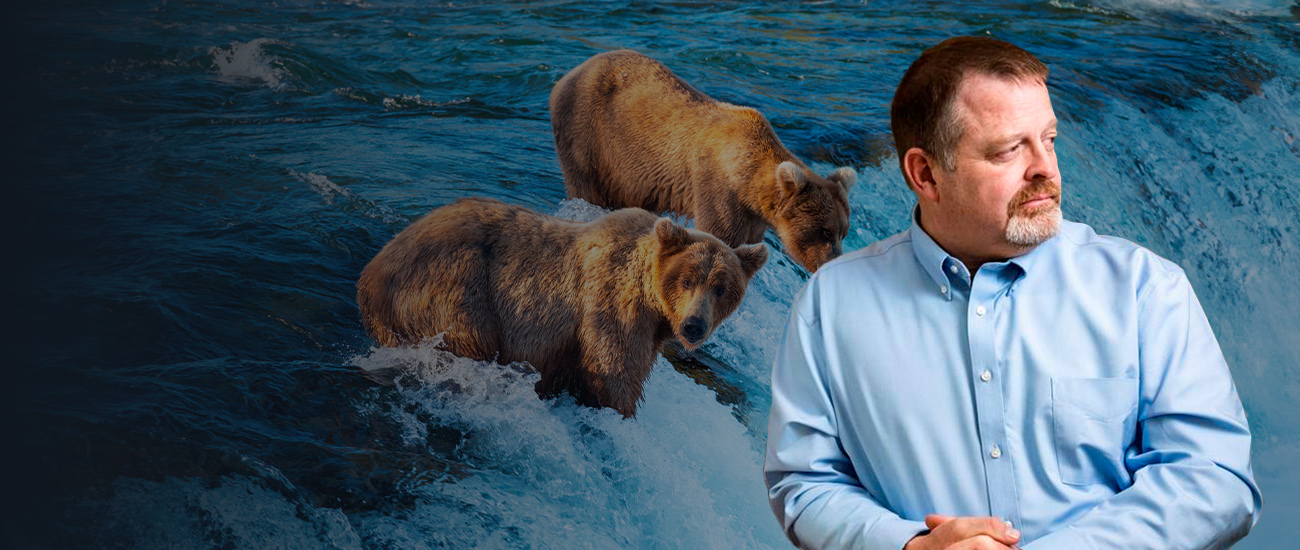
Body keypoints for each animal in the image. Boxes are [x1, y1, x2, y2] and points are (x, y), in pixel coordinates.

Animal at [353, 197, 759, 418]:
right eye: (687, 280)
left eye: (721, 288)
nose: (693, 326)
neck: (652, 301)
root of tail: (370, 275)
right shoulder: (611, 305)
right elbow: (614, 373)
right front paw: (620, 412)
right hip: (454, 286)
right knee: (469, 338)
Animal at [546, 49, 852, 273]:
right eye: (825, 231)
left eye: (844, 232)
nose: (833, 261)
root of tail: (568, 74)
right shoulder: (718, 188)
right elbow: (720, 235)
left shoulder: (753, 216)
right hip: (589, 136)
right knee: (587, 187)